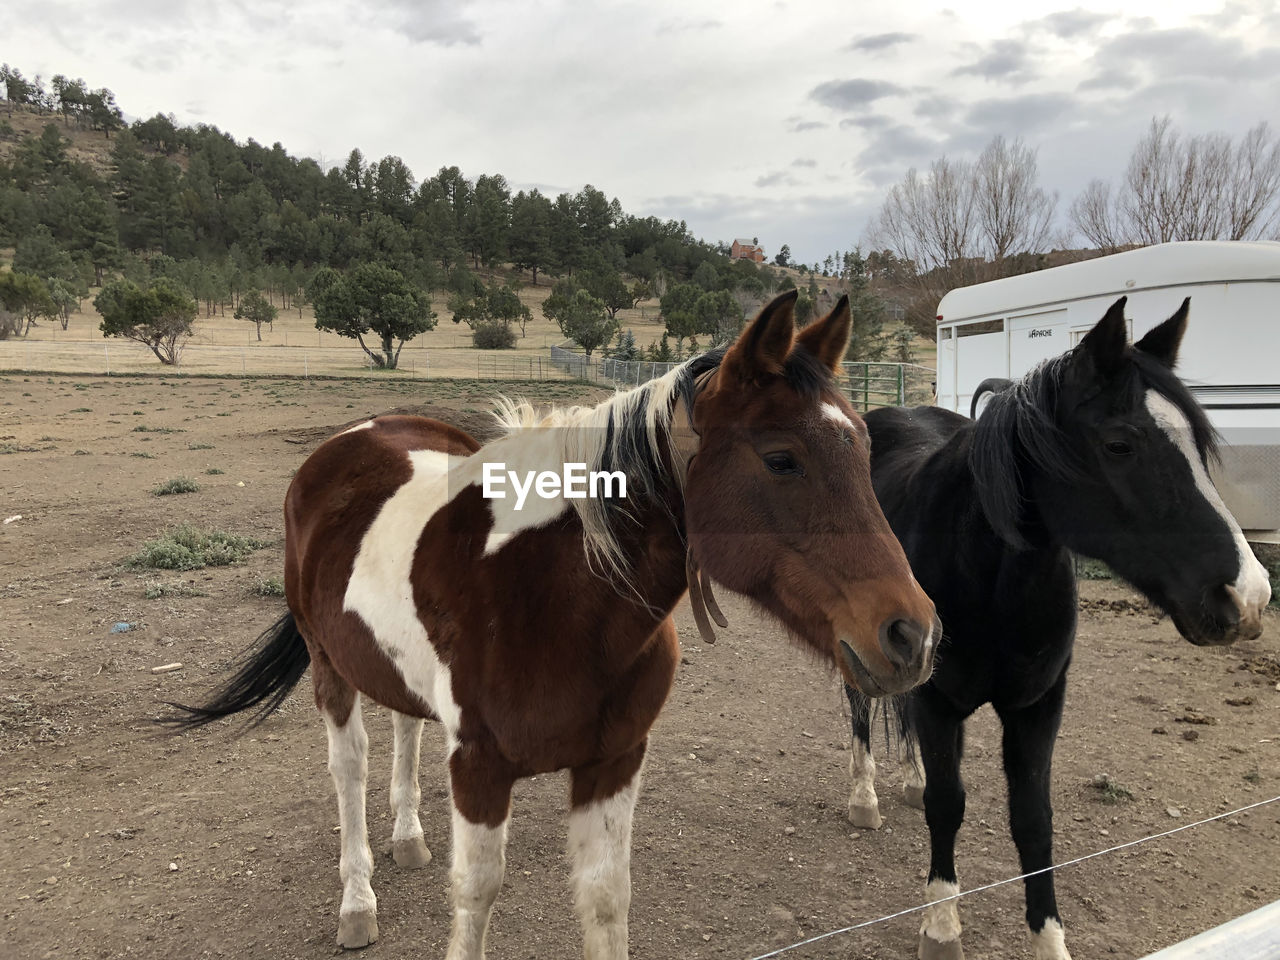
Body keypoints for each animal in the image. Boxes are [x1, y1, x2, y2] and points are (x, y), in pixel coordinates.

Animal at [165, 293, 936, 960]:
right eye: (782, 459)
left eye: (865, 450)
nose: (913, 635)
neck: (550, 599)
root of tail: (354, 438)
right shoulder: (479, 769)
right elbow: (475, 898)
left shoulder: (613, 762)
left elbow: (604, 899)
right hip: (330, 666)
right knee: (349, 767)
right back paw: (358, 902)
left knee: (405, 725)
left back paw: (409, 839)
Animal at [839, 295, 1269, 960]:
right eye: (1119, 444)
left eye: (1199, 442)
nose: (1247, 595)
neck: (990, 579)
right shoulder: (940, 701)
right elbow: (947, 804)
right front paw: (941, 926)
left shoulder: (1037, 706)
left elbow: (1034, 823)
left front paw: (1049, 940)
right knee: (861, 704)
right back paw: (864, 796)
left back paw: (907, 776)